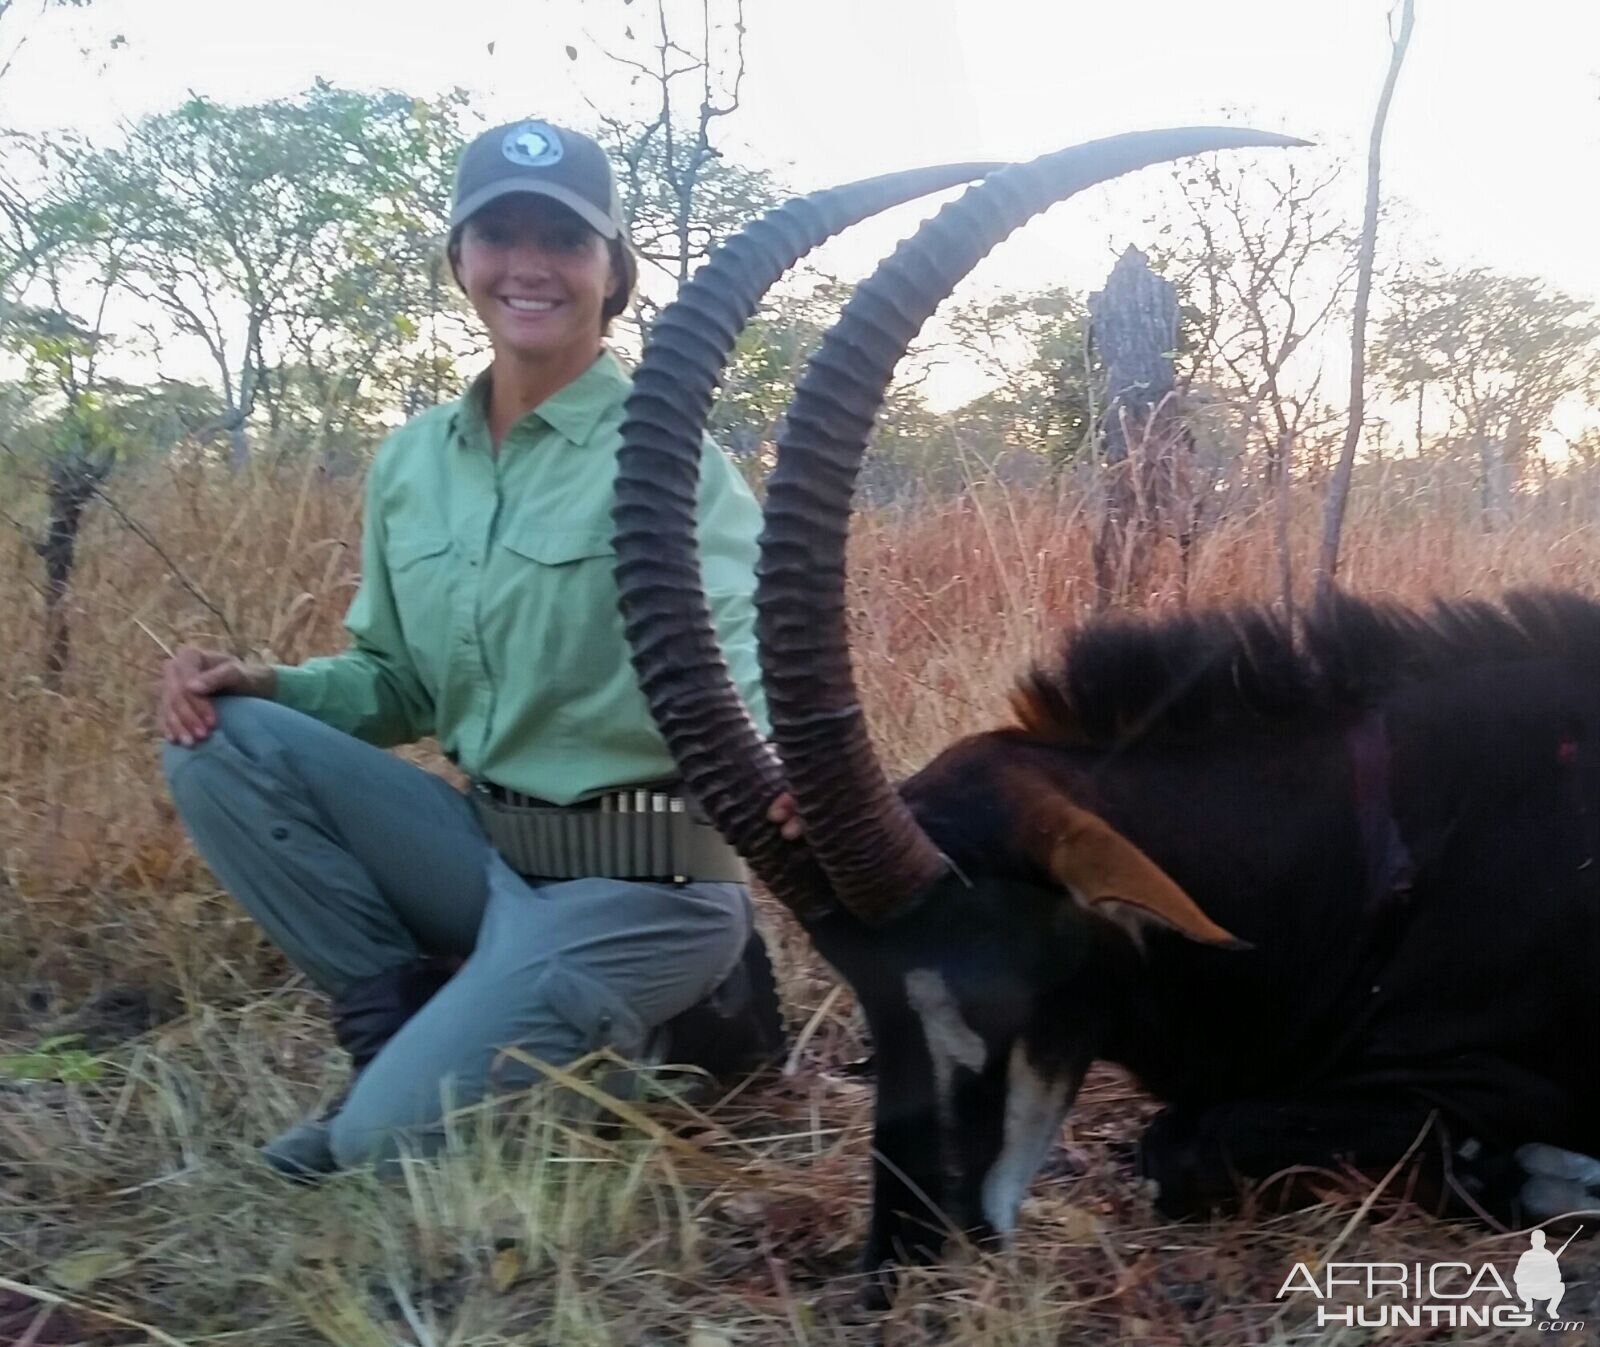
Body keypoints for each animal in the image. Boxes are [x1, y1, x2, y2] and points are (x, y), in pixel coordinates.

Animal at [604, 133, 1593, 1273]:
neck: (1367, 833)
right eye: (865, 993)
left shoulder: (1482, 1075)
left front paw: (1540, 1176)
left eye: (994, 981)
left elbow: (1182, 1144)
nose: (908, 1251)